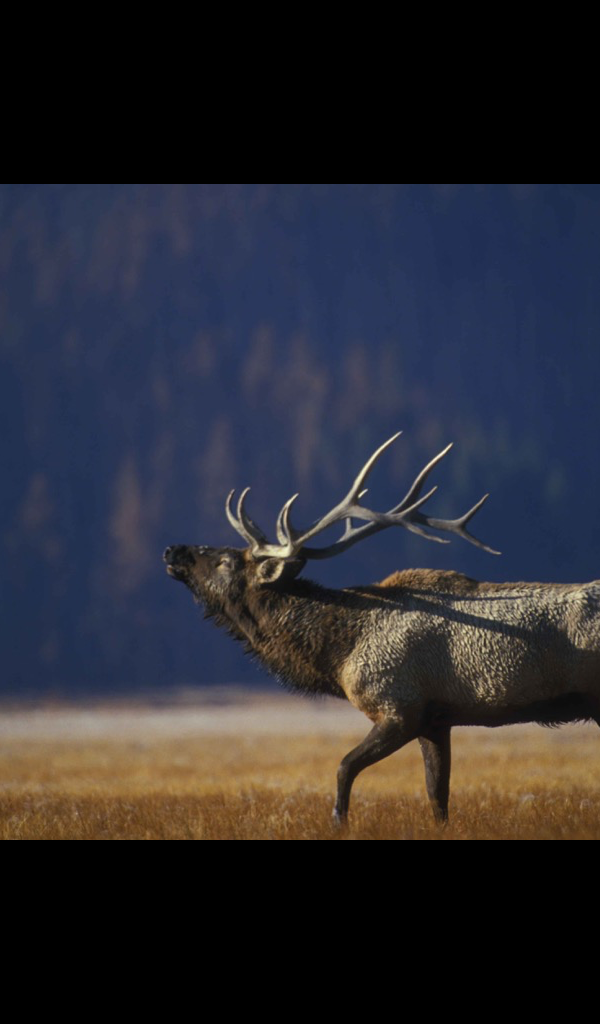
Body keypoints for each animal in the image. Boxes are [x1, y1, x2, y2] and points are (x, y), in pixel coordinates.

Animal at [163, 433, 600, 824]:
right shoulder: (436, 720)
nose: (172, 549)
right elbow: (437, 798)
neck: (339, 654)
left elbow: (343, 769)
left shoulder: (399, 707)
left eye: (225, 561)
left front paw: (339, 824)